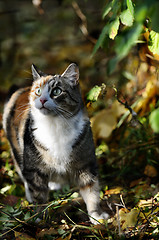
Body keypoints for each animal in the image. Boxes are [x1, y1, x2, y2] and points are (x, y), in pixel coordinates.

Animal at [2, 62, 109, 224]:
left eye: (57, 91)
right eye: (38, 91)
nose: (42, 100)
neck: (55, 126)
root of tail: (21, 89)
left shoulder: (86, 165)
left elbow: (92, 192)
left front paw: (96, 216)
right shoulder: (34, 170)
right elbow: (39, 195)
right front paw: (39, 217)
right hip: (17, 150)